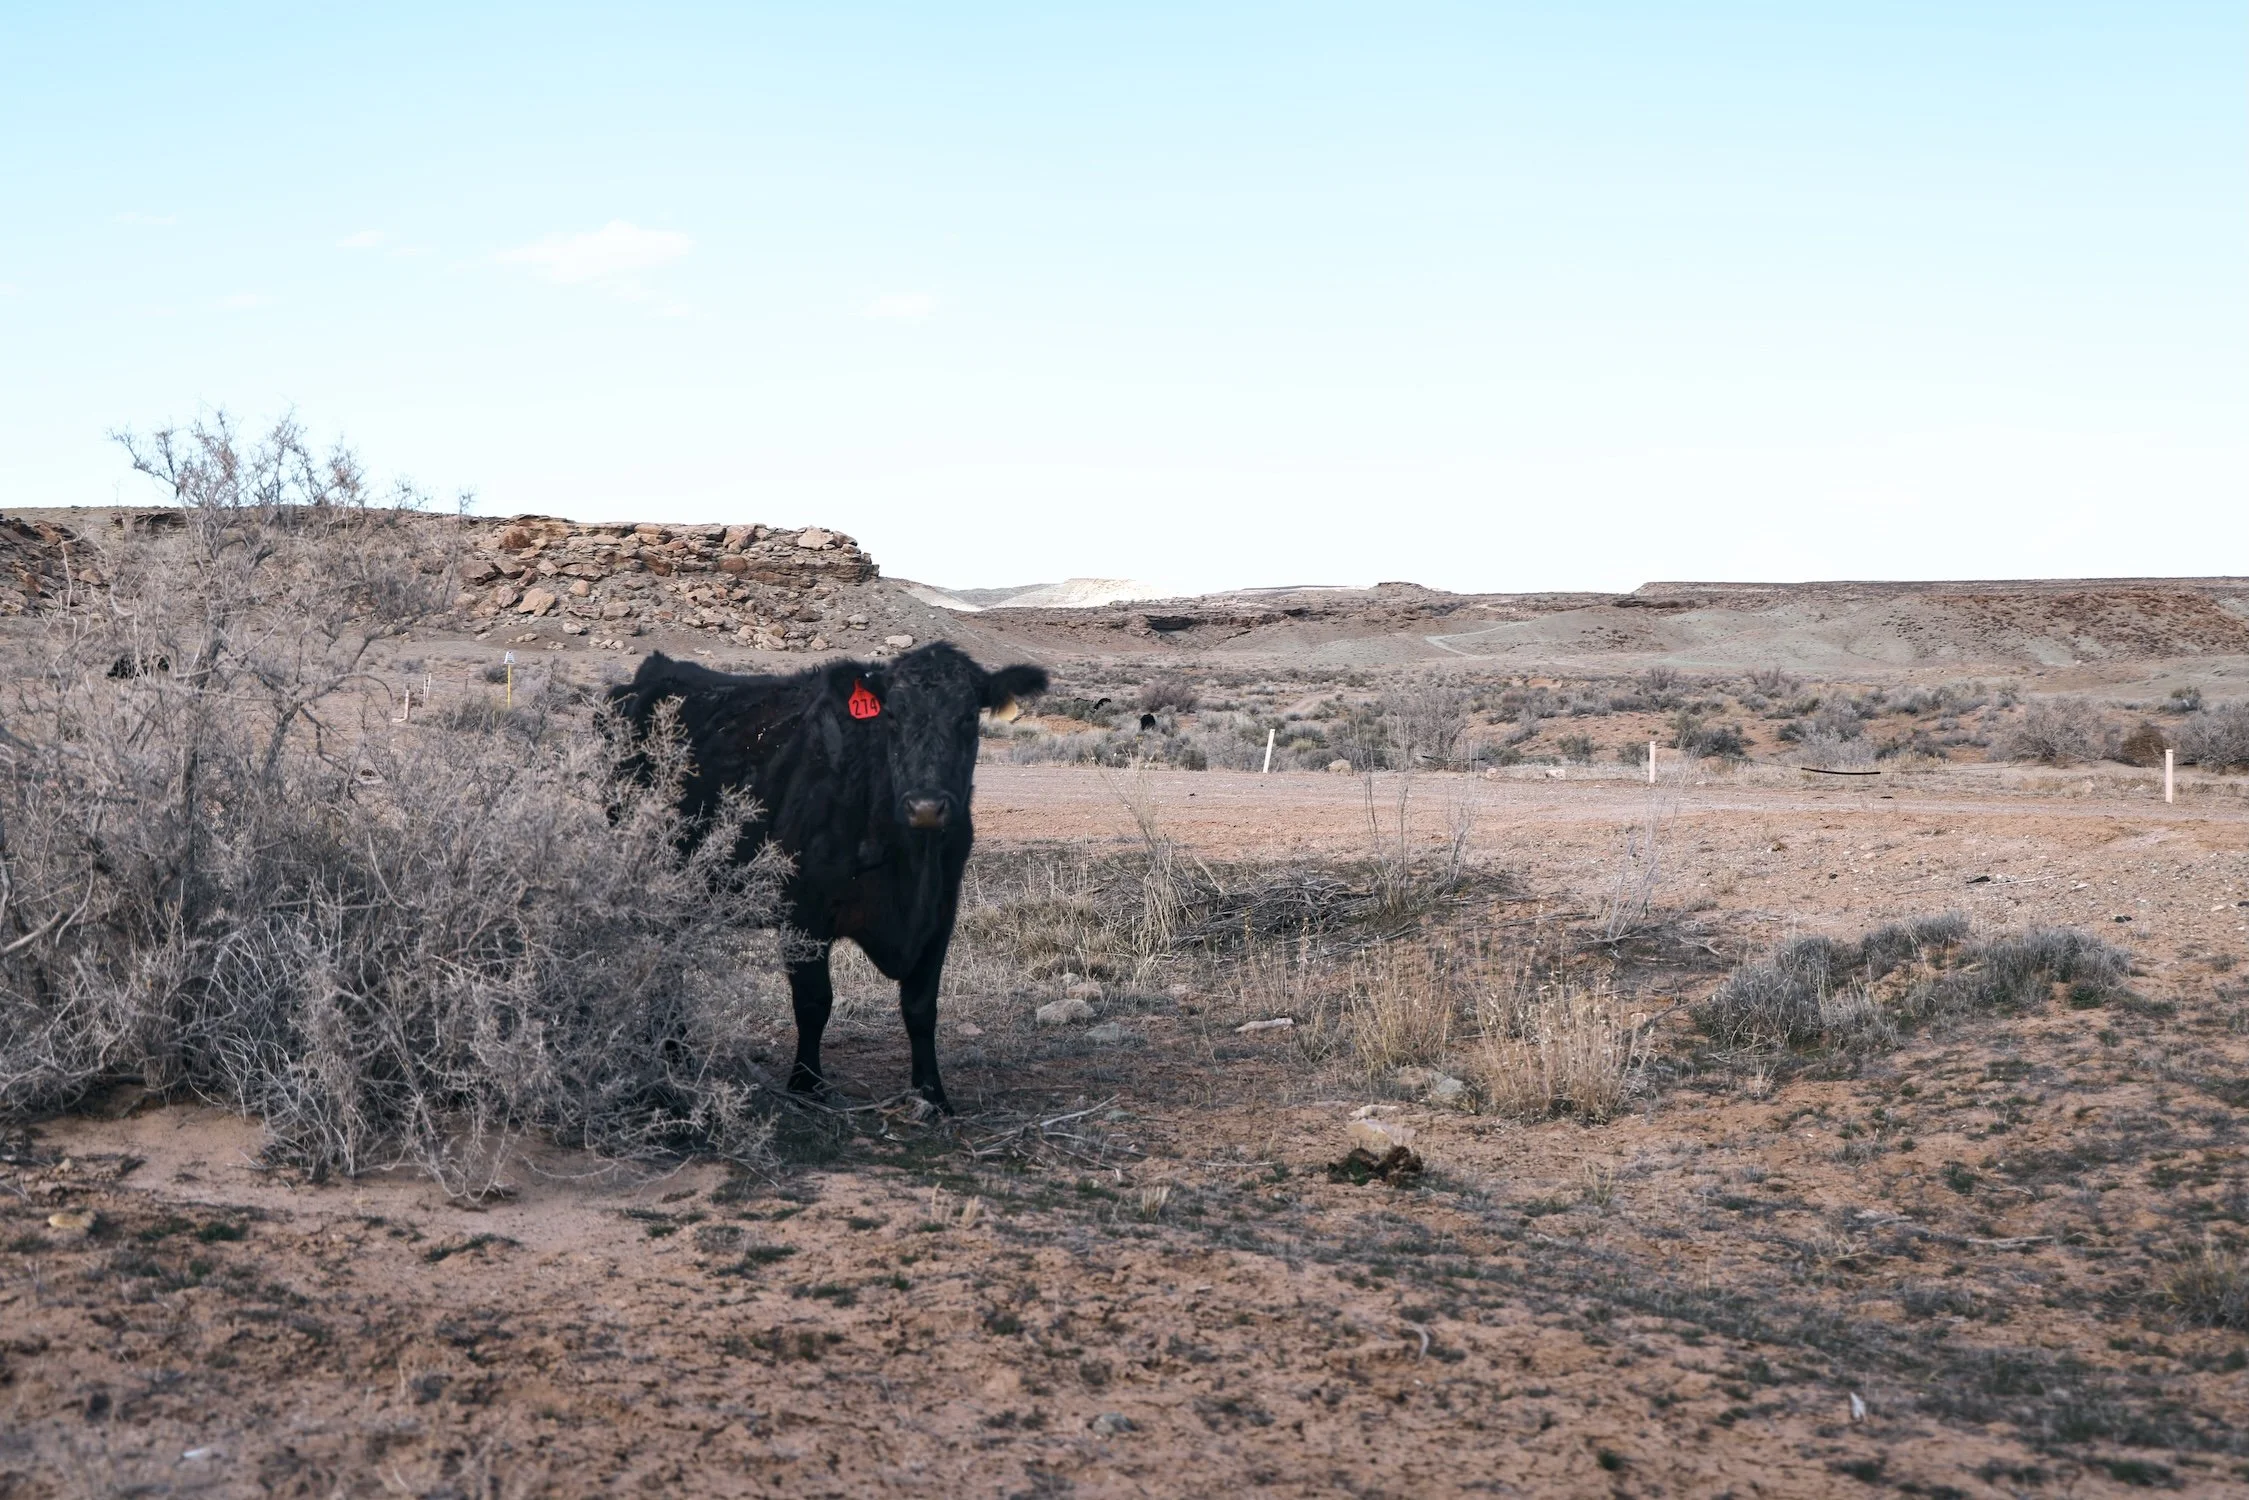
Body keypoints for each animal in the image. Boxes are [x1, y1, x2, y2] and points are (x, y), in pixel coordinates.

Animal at [608, 642, 1049, 1112]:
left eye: (967, 717)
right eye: (892, 716)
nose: (926, 807)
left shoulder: (941, 913)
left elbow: (921, 1007)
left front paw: (932, 1094)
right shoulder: (802, 914)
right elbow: (814, 1002)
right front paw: (806, 1085)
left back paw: (673, 1049)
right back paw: (671, 1051)